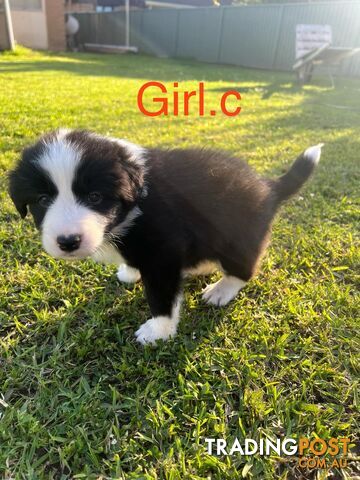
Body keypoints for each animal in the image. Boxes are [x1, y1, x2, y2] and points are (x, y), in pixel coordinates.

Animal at [9, 129, 324, 344]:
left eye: (95, 197)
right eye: (42, 199)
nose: (67, 241)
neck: (135, 197)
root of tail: (268, 187)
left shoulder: (164, 250)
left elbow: (162, 295)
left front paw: (158, 330)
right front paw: (130, 272)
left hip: (237, 236)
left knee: (243, 269)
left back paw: (221, 290)